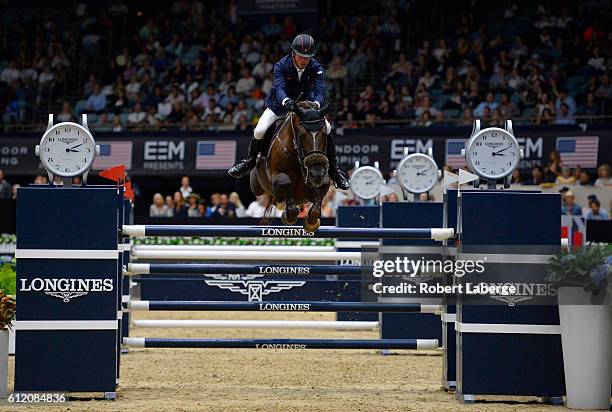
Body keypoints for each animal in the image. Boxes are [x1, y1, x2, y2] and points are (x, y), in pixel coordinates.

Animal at [250, 100, 332, 232]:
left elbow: (323, 186)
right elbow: (285, 181)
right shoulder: (277, 174)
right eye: (301, 135)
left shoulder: (322, 176)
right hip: (256, 185)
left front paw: (312, 222)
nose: (316, 174)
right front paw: (289, 216)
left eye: (325, 134)